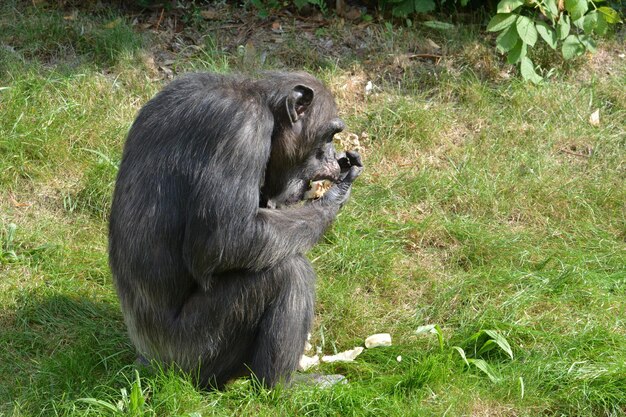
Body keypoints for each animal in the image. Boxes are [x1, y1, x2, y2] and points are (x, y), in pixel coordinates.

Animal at [108, 70, 360, 386]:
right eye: (328, 136)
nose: (332, 157)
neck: (262, 102)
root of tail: (148, 361)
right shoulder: (243, 129)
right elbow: (227, 238)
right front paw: (334, 197)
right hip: (193, 354)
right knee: (287, 271)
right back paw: (284, 386)